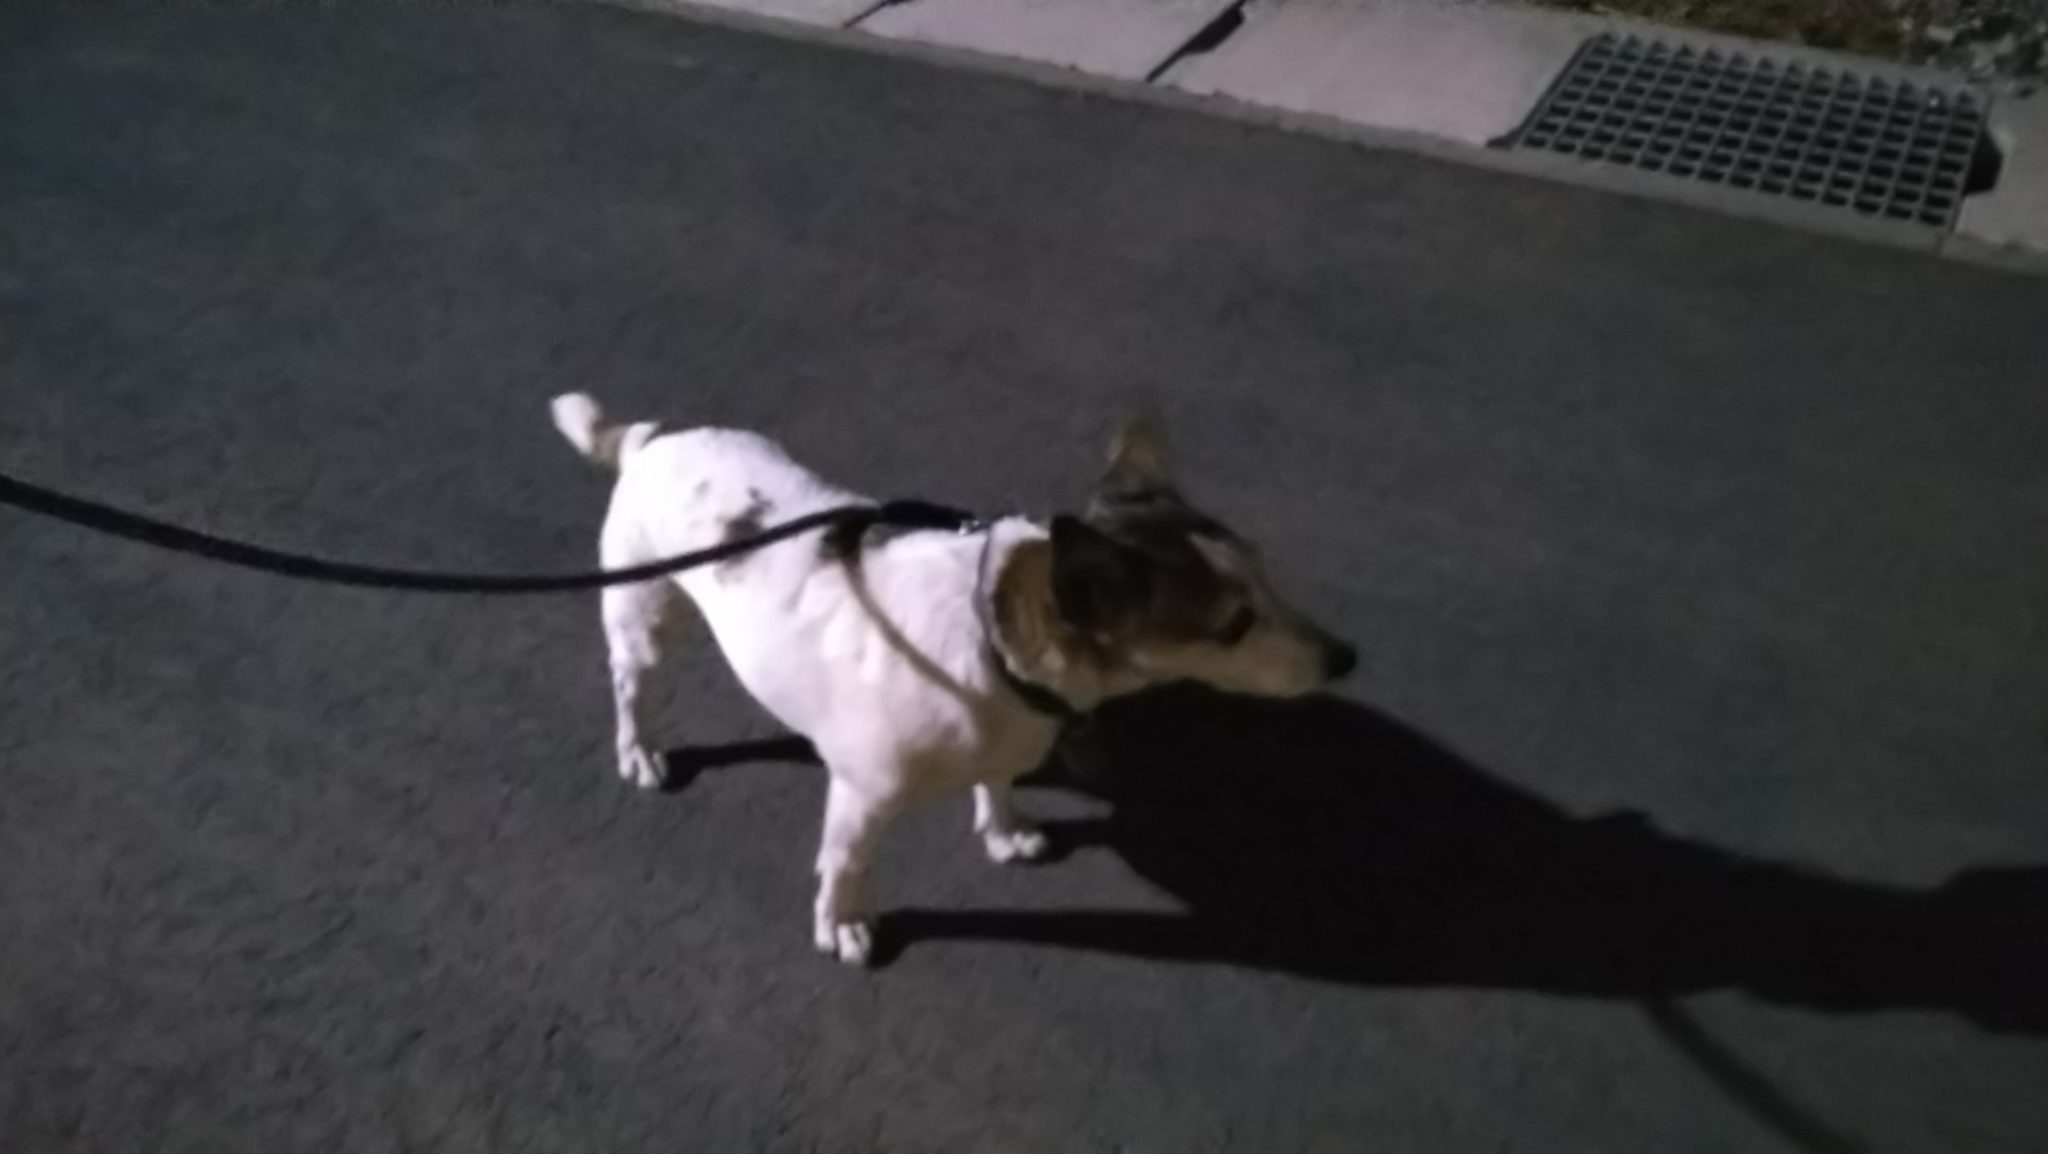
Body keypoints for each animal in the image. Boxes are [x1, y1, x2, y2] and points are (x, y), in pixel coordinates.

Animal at [551, 393, 1356, 964]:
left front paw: (1005, 829)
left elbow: (997, 784)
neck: (988, 635)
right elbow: (845, 863)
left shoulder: (1005, 739)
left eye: (1268, 576)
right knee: (632, 688)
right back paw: (640, 750)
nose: (1348, 659)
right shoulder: (864, 799)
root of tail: (650, 438)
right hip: (645, 618)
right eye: (1234, 624)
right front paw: (844, 924)